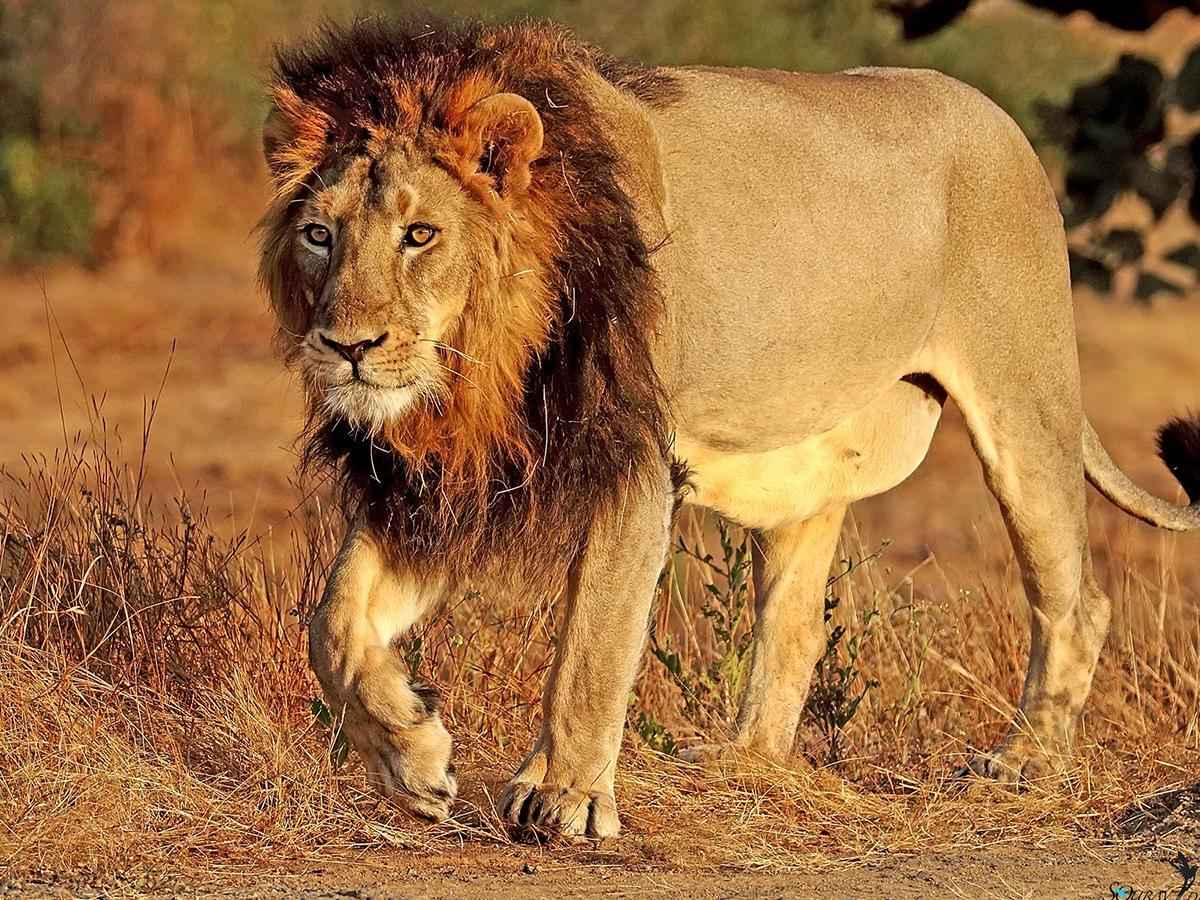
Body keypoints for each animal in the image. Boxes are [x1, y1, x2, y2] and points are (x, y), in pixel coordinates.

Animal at [259, 19, 1200, 838]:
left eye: (421, 234)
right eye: (320, 235)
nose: (347, 347)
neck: (479, 364)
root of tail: (997, 118)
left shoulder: (635, 464)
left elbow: (593, 641)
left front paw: (564, 799)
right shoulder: (446, 478)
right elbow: (331, 623)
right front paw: (412, 758)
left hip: (1026, 407)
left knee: (1076, 600)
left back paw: (1023, 765)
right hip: (812, 467)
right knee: (797, 624)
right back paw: (745, 763)